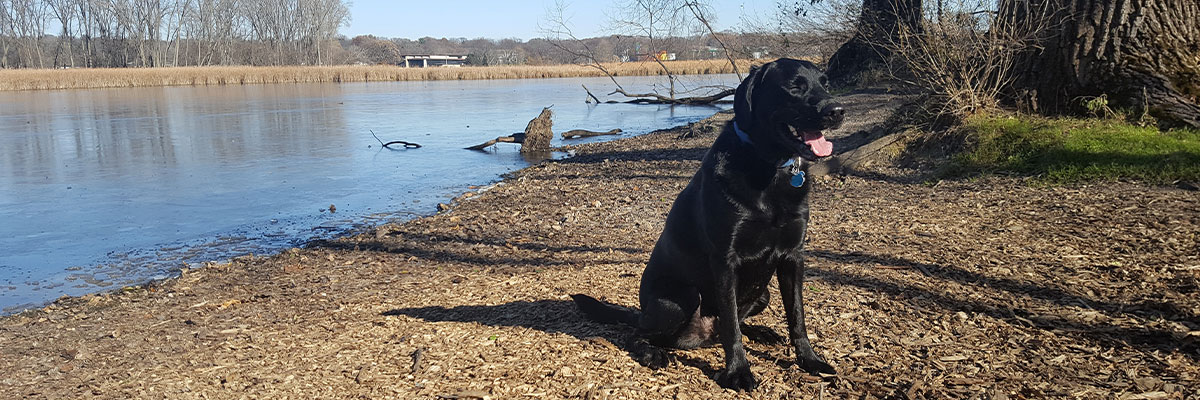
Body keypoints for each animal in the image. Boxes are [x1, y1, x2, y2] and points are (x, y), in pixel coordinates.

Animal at [571, 58, 844, 389]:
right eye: (794, 86)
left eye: (825, 83)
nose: (837, 111)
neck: (770, 168)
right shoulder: (725, 261)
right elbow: (732, 327)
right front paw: (738, 371)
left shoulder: (793, 257)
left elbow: (797, 316)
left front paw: (810, 360)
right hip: (680, 298)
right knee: (638, 334)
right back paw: (652, 353)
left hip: (762, 294)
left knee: (735, 322)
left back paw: (761, 332)